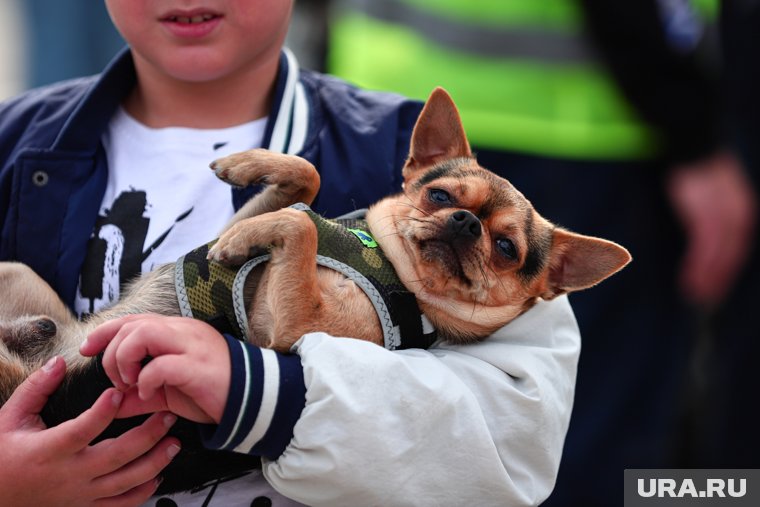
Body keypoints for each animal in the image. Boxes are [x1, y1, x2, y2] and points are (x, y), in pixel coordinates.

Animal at [0, 88, 628, 492]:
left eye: (506, 249)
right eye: (440, 196)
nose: (467, 224)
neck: (383, 260)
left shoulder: (292, 329)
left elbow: (300, 224)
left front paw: (251, 236)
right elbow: (305, 178)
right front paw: (243, 170)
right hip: (19, 273)